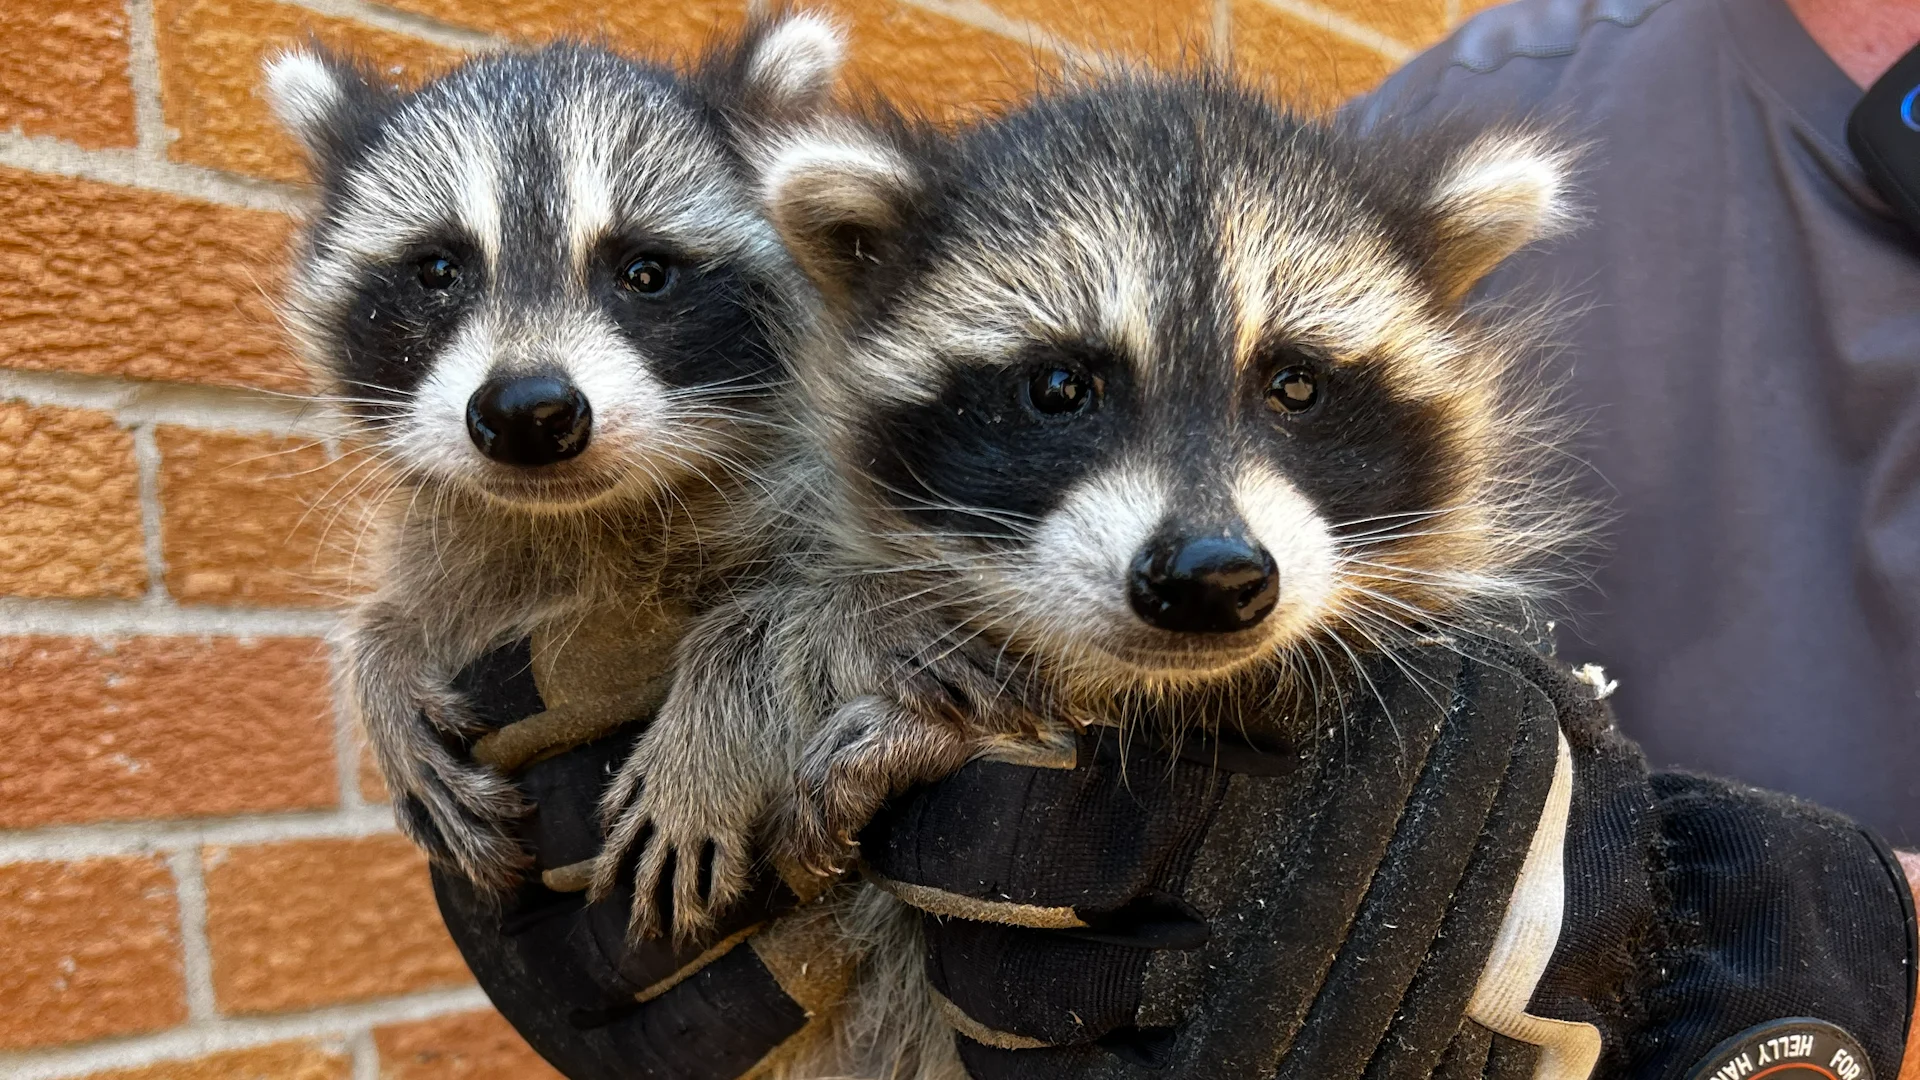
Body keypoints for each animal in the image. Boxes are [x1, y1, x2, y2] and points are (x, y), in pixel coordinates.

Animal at [264, 13, 844, 892]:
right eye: (439, 270)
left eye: (645, 272)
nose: (527, 413)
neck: (580, 521)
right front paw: (382, 648)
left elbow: (864, 607)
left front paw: (722, 706)